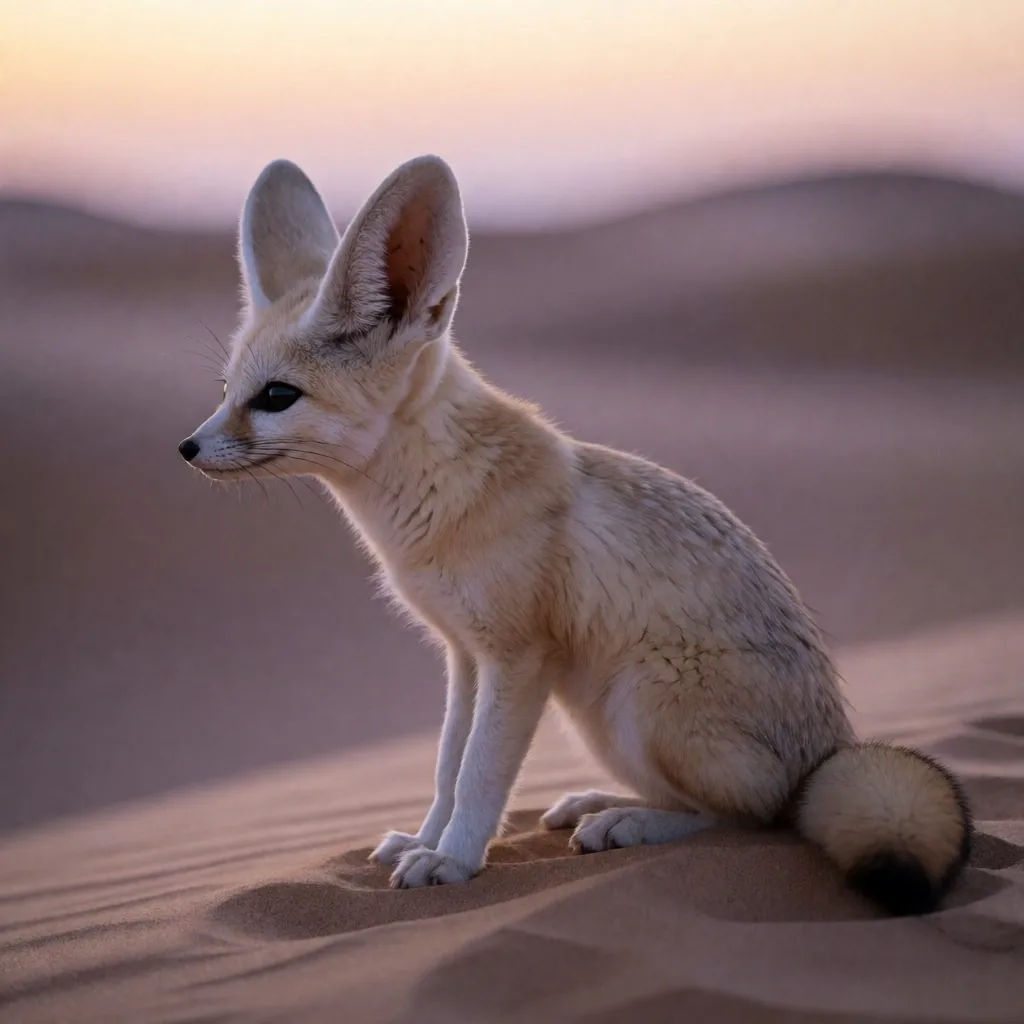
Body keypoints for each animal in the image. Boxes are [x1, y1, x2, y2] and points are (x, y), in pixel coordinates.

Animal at [179, 154, 971, 915]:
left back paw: (629, 822)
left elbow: (479, 776)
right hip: (595, 718)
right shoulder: (465, 658)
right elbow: (446, 768)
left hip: (639, 704)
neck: (434, 496)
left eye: (276, 397)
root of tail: (827, 754)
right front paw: (426, 839)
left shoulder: (519, 659)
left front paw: (454, 861)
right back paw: (603, 803)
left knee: (753, 817)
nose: (186, 448)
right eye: (225, 391)